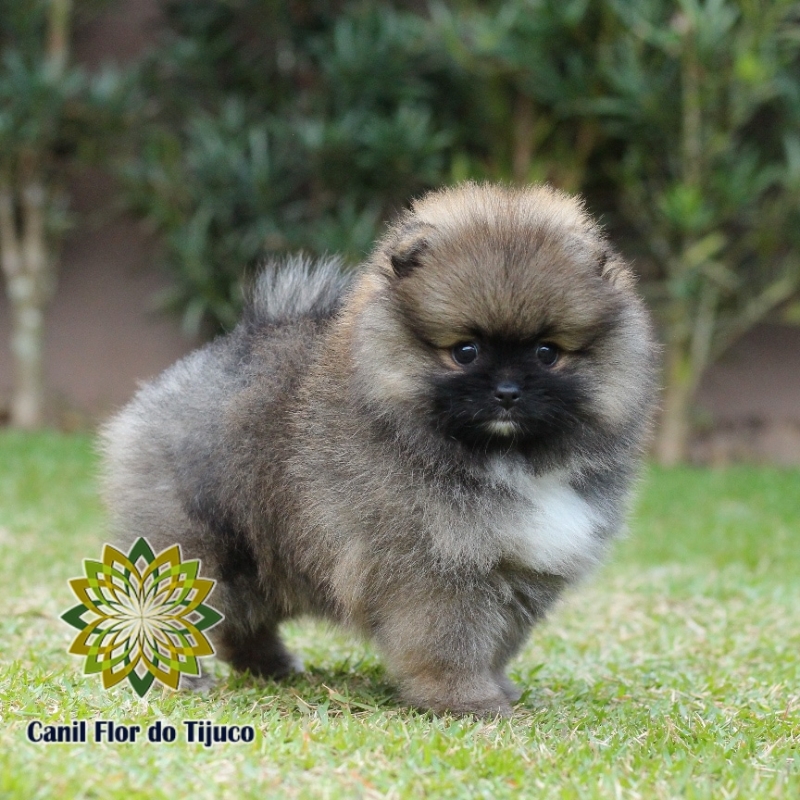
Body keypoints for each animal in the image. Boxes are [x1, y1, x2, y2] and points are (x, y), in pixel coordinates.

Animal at [103, 183, 660, 720]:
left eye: (547, 353)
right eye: (465, 351)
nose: (507, 391)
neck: (506, 459)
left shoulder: (519, 572)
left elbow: (497, 644)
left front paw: (496, 688)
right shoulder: (434, 570)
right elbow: (449, 644)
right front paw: (466, 703)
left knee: (240, 623)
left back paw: (272, 666)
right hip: (199, 544)